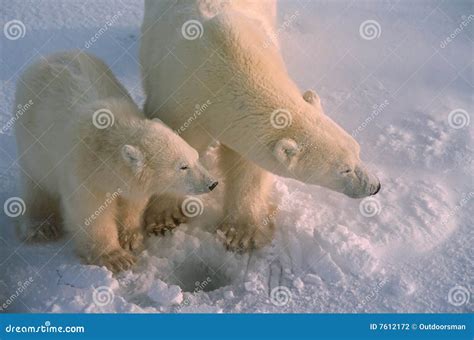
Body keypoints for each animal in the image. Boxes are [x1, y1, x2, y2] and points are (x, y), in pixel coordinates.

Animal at [14, 50, 218, 272]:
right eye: (183, 166)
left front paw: (130, 237)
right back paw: (40, 226)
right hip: (32, 140)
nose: (212, 183)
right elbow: (91, 212)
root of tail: (49, 56)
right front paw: (116, 257)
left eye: (195, 156)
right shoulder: (83, 171)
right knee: (36, 183)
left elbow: (132, 203)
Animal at [139, 0, 380, 250]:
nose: (375, 186)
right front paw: (163, 218)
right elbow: (176, 146)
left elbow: (248, 166)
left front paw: (241, 232)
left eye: (358, 151)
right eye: (344, 169)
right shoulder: (180, 97)